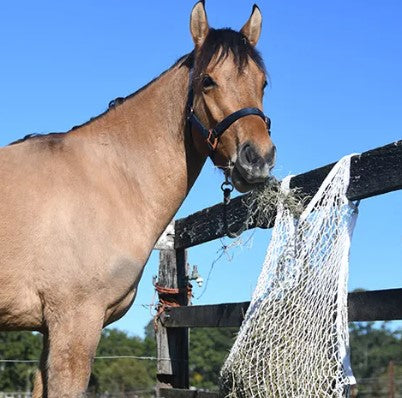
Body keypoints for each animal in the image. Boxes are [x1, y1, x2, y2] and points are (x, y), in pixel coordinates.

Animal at [0, 1, 274, 396]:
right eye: (208, 81)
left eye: (263, 82)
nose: (259, 158)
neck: (111, 178)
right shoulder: (73, 325)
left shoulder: (48, 330)